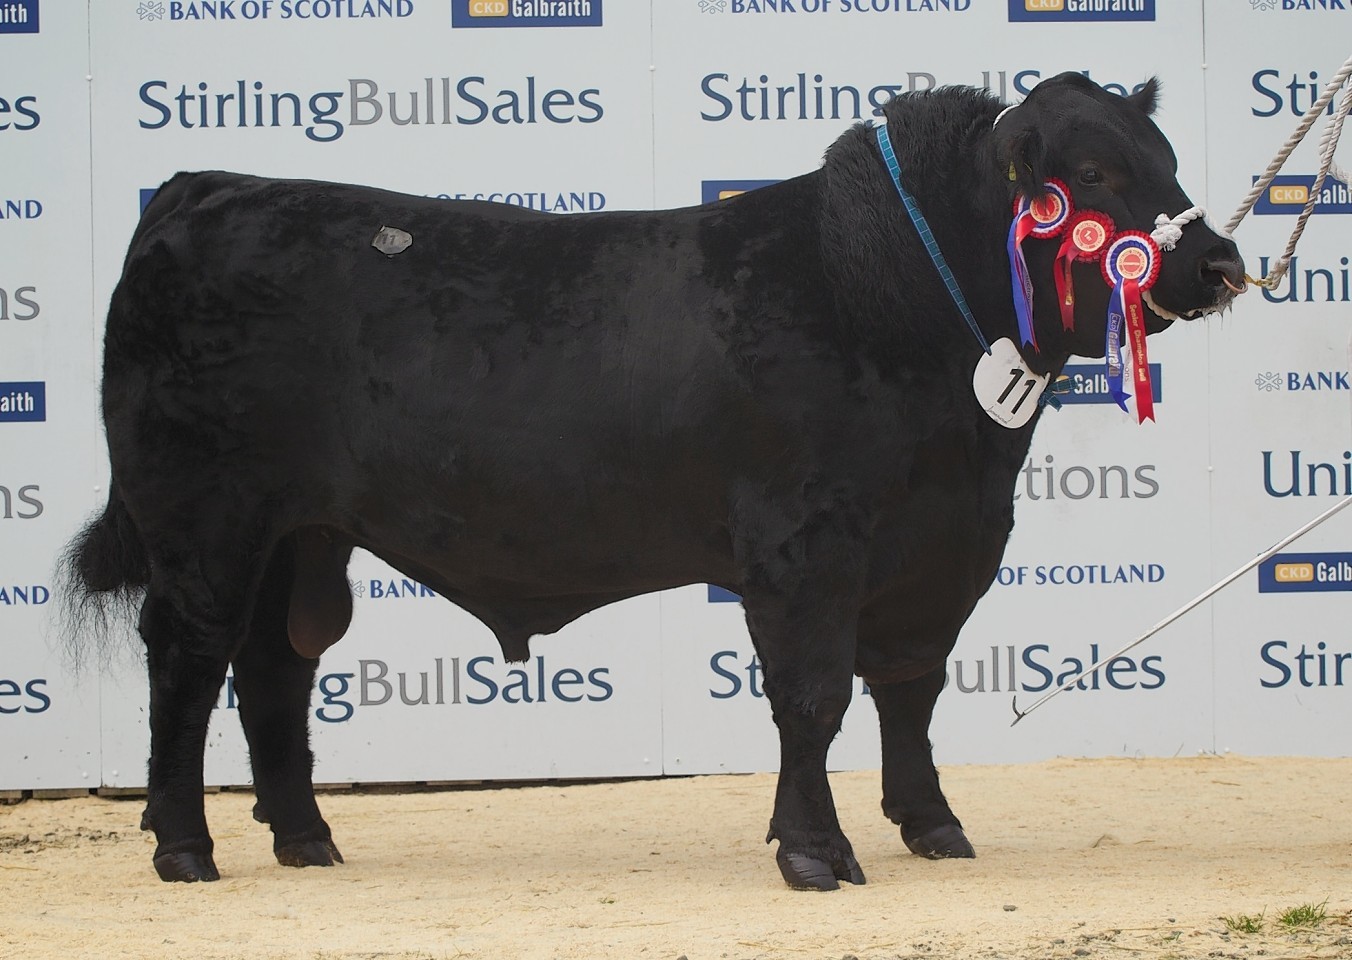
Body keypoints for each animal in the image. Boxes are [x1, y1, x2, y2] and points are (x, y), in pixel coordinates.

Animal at [65, 71, 1243, 892]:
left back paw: (307, 839)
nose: (1220, 263)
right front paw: (814, 852)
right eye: (1091, 177)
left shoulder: (942, 544)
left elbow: (908, 688)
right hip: (205, 519)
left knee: (275, 665)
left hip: (300, 531)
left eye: (1164, 157)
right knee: (187, 660)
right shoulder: (807, 547)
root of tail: (205, 188)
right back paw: (184, 846)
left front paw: (931, 825)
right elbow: (812, 697)